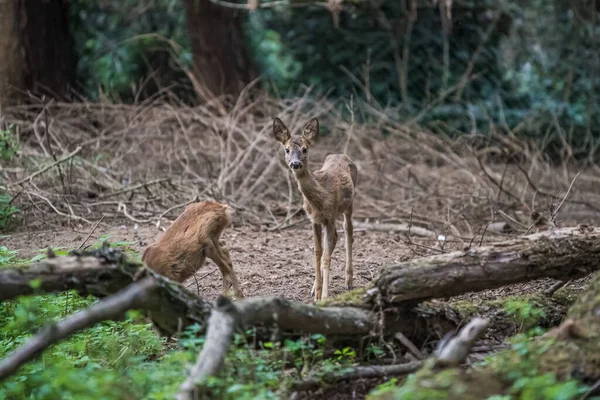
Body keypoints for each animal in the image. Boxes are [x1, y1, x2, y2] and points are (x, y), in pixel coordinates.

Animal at [274, 117, 358, 302]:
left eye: (305, 149)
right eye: (287, 149)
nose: (295, 164)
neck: (319, 198)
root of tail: (341, 154)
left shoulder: (330, 215)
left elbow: (326, 257)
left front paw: (324, 296)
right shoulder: (314, 219)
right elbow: (318, 252)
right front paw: (316, 292)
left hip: (349, 204)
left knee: (348, 232)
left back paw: (348, 281)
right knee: (336, 238)